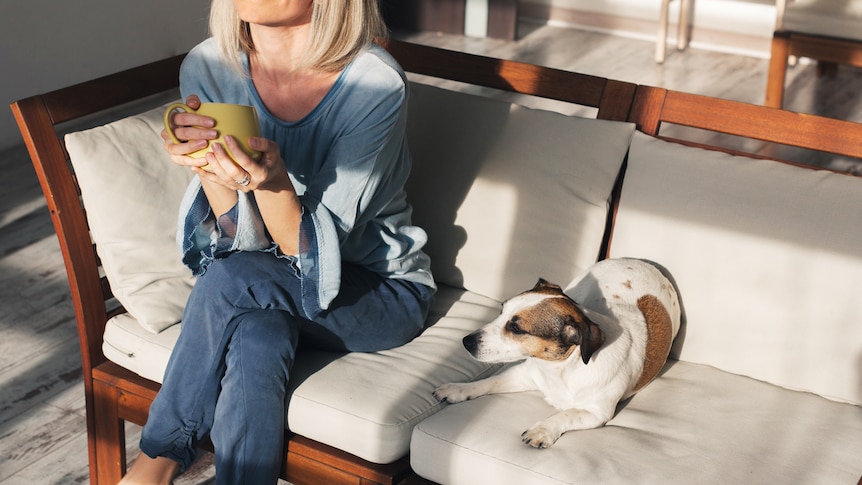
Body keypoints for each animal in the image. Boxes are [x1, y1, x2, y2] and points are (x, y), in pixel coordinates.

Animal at [436, 260, 684, 448]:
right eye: (501, 310)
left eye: (516, 328)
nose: (466, 342)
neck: (560, 369)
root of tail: (643, 262)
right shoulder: (523, 375)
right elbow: (489, 381)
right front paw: (459, 389)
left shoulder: (596, 413)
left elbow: (567, 414)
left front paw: (543, 429)